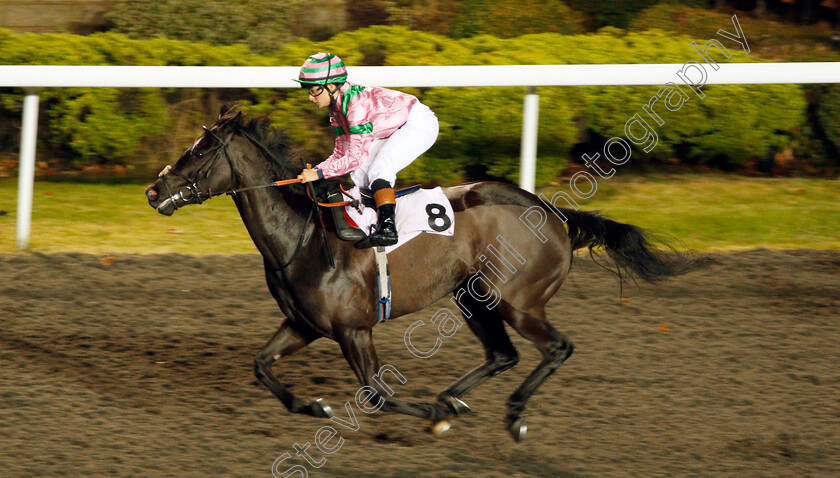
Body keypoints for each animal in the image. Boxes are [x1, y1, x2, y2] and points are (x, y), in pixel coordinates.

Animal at [146, 106, 708, 442]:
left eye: (201, 151)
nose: (154, 190)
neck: (301, 236)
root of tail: (552, 212)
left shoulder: (354, 329)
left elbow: (378, 394)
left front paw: (435, 418)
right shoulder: (305, 324)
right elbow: (261, 366)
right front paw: (316, 407)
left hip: (517, 300)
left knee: (556, 347)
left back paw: (510, 415)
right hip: (472, 295)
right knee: (502, 354)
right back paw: (453, 398)